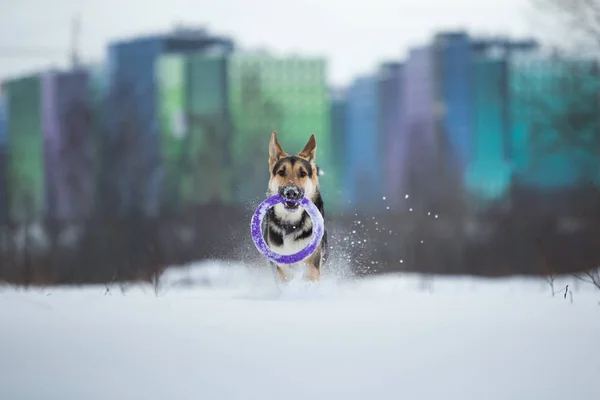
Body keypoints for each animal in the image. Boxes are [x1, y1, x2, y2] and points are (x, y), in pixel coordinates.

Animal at [262, 130, 328, 282]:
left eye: (302, 173)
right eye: (281, 172)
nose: (291, 192)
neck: (291, 223)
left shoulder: (312, 265)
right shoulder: (282, 267)